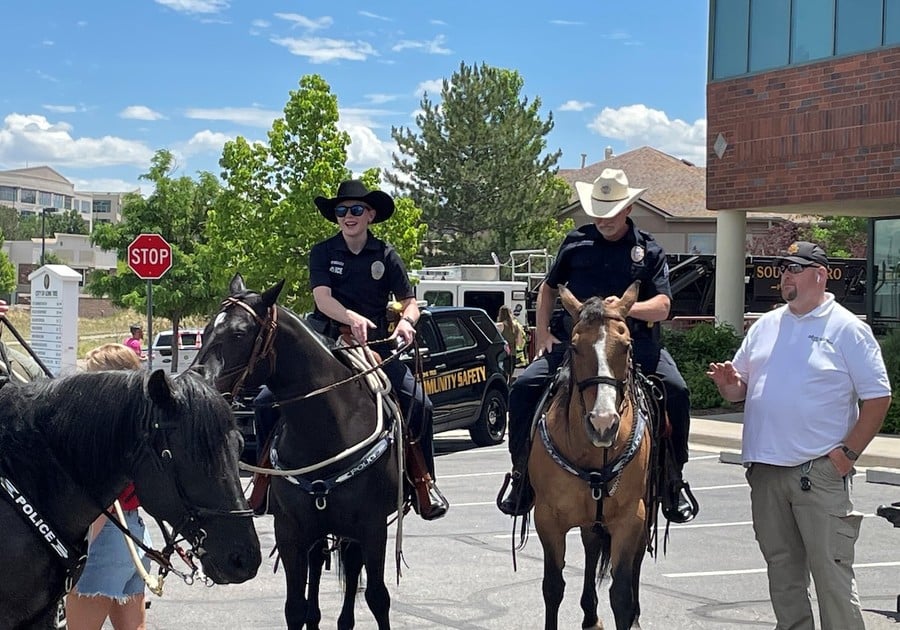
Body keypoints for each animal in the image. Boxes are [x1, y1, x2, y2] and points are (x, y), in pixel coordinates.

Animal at [196, 278, 404, 630]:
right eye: (208, 327)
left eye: (239, 333)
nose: (200, 383)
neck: (327, 429)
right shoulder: (291, 531)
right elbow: (295, 606)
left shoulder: (373, 526)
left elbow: (378, 597)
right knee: (319, 569)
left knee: (351, 564)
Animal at [532, 284, 656, 628]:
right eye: (574, 347)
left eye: (627, 346)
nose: (603, 423)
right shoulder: (547, 517)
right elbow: (553, 587)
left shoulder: (631, 517)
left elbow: (622, 594)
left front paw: (629, 614)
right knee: (590, 547)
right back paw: (589, 614)